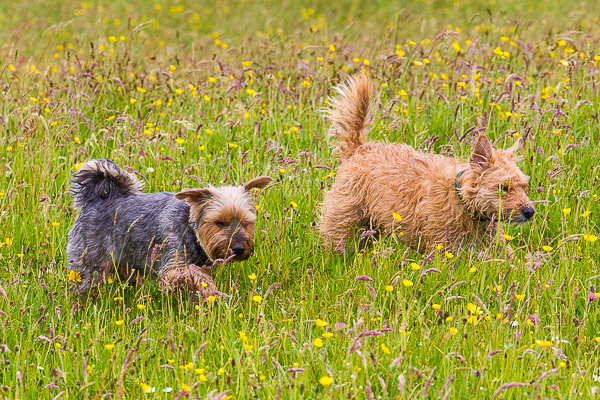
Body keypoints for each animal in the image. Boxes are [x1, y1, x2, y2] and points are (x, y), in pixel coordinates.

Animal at [322, 73, 536, 252]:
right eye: (503, 188)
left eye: (524, 187)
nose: (530, 211)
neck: (461, 197)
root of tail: (360, 149)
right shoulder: (443, 249)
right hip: (343, 218)